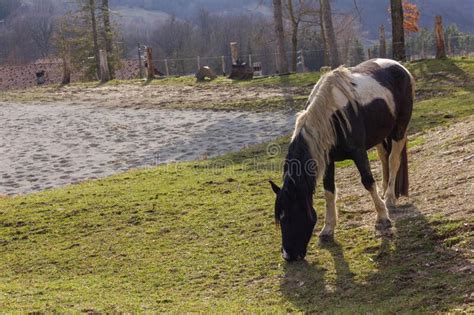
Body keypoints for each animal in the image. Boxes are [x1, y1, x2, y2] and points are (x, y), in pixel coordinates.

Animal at [270, 59, 414, 262]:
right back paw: (386, 191)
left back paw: (390, 198)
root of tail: (400, 66)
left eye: (290, 217)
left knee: (393, 161)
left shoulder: (358, 152)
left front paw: (382, 218)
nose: (288, 255)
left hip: (399, 131)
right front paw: (328, 229)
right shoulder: (328, 160)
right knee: (384, 159)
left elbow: (368, 181)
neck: (331, 115)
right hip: (380, 137)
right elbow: (329, 191)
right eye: (280, 217)